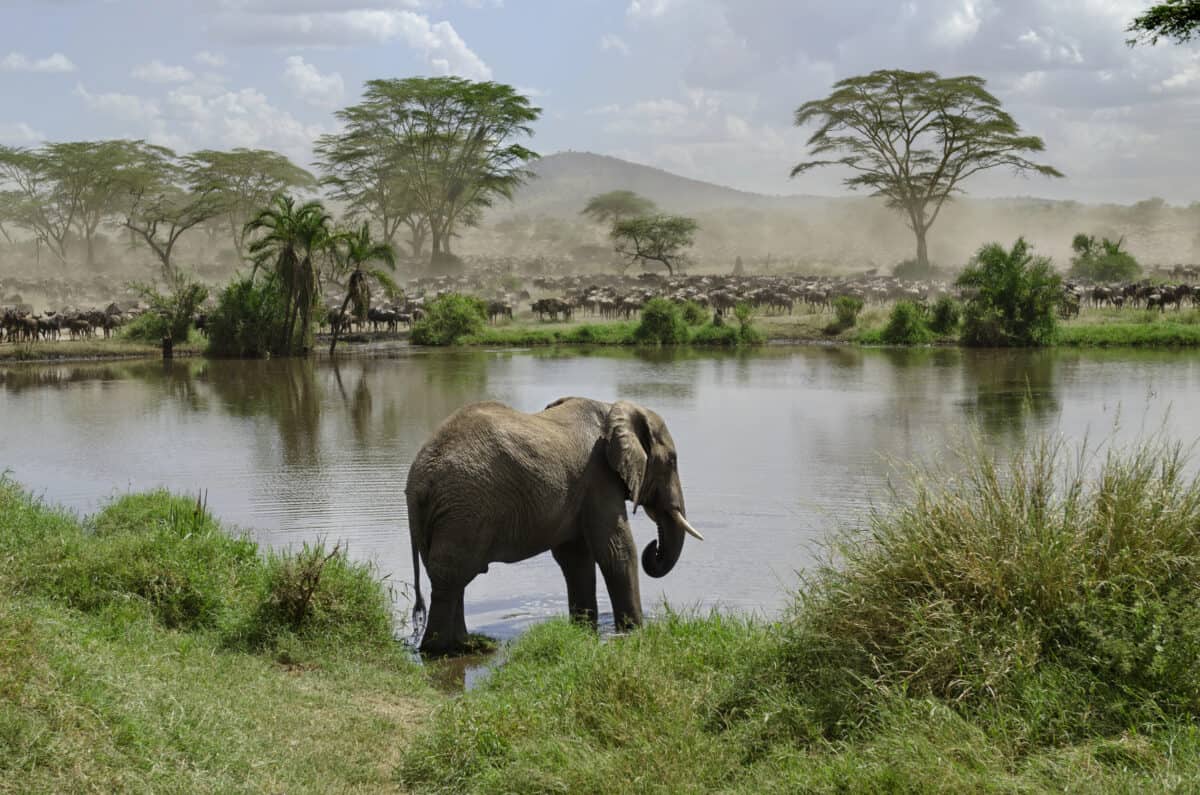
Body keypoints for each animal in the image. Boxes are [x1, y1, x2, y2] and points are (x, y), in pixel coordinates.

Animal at [408, 396, 700, 658]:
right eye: (672, 461)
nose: (654, 547)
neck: (613, 409)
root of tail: (418, 481)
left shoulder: (581, 487)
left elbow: (576, 558)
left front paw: (583, 630)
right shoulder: (599, 477)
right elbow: (617, 550)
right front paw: (634, 632)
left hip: (447, 515)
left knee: (451, 577)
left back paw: (467, 645)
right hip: (465, 508)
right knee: (451, 575)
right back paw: (443, 649)